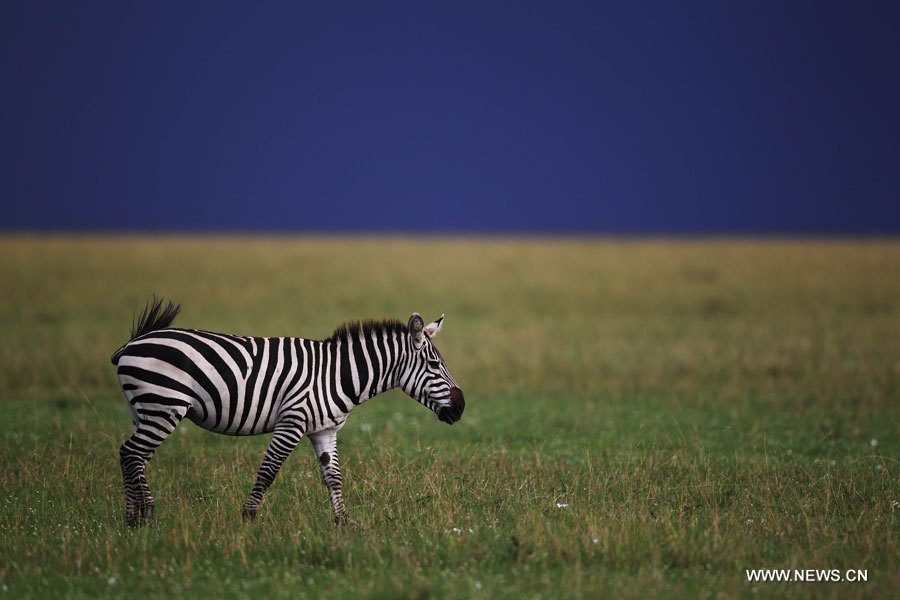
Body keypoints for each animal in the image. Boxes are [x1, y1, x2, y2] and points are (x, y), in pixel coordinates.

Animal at [110, 298, 464, 528]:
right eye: (435, 364)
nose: (461, 407)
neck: (338, 375)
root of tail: (133, 343)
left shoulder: (324, 430)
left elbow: (333, 477)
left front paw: (344, 522)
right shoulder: (292, 421)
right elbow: (268, 471)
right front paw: (248, 518)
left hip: (144, 409)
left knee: (133, 456)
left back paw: (136, 518)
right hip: (163, 406)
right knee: (132, 454)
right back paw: (143, 518)